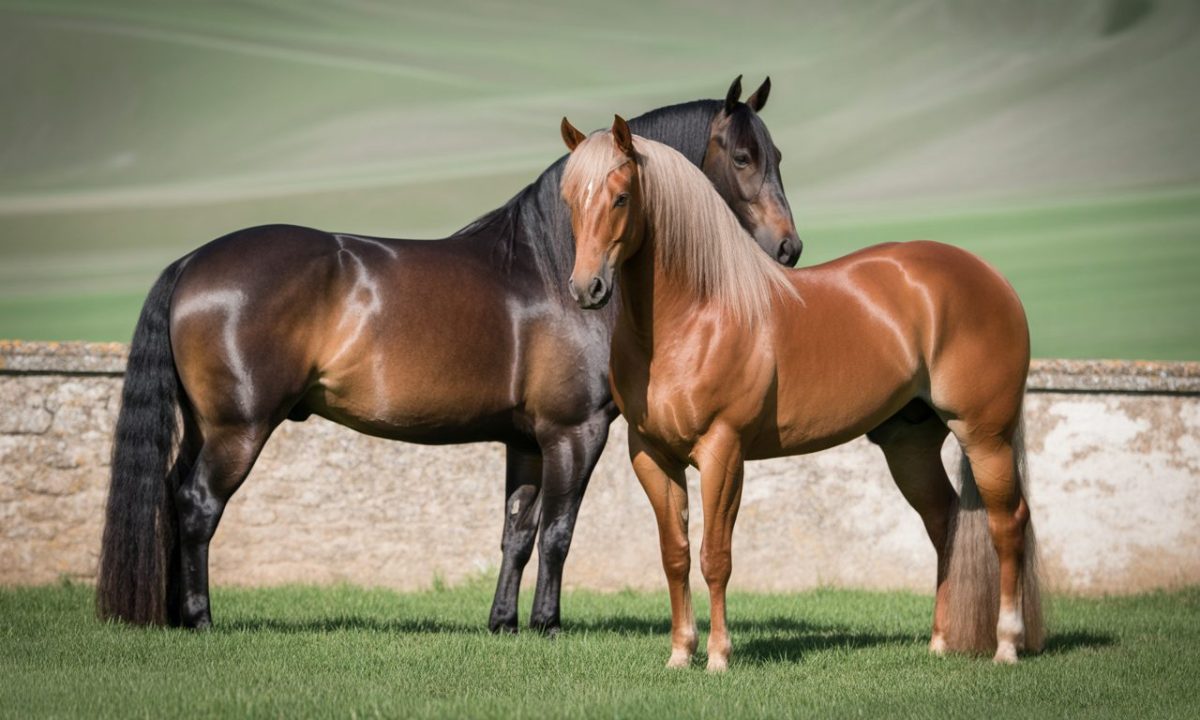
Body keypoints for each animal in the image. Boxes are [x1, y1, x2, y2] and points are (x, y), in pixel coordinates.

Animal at [96, 76, 803, 634]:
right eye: (743, 157)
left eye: (777, 155)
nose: (789, 248)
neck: (553, 269)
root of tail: (191, 263)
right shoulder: (575, 432)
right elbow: (558, 533)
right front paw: (547, 625)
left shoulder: (526, 439)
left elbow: (517, 533)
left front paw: (504, 624)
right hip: (237, 430)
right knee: (196, 507)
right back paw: (199, 620)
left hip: (204, 426)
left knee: (170, 497)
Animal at [559, 116, 1044, 670]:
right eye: (569, 198)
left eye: (621, 197)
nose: (586, 289)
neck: (695, 315)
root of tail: (992, 278)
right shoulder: (651, 455)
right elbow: (675, 555)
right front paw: (680, 654)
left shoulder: (723, 451)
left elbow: (715, 557)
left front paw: (719, 657)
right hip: (911, 445)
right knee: (944, 522)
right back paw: (939, 642)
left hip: (985, 436)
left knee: (1008, 525)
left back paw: (1006, 645)